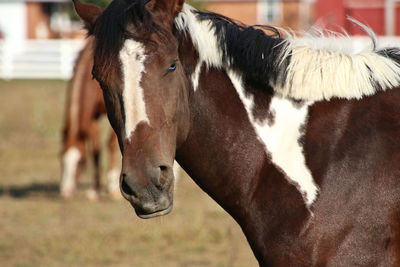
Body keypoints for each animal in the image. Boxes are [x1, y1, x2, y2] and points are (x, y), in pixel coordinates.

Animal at [59, 37, 119, 201]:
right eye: (61, 158)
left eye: (81, 162)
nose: (65, 193)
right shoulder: (92, 118)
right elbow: (96, 151)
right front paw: (94, 191)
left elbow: (111, 145)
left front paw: (113, 188)